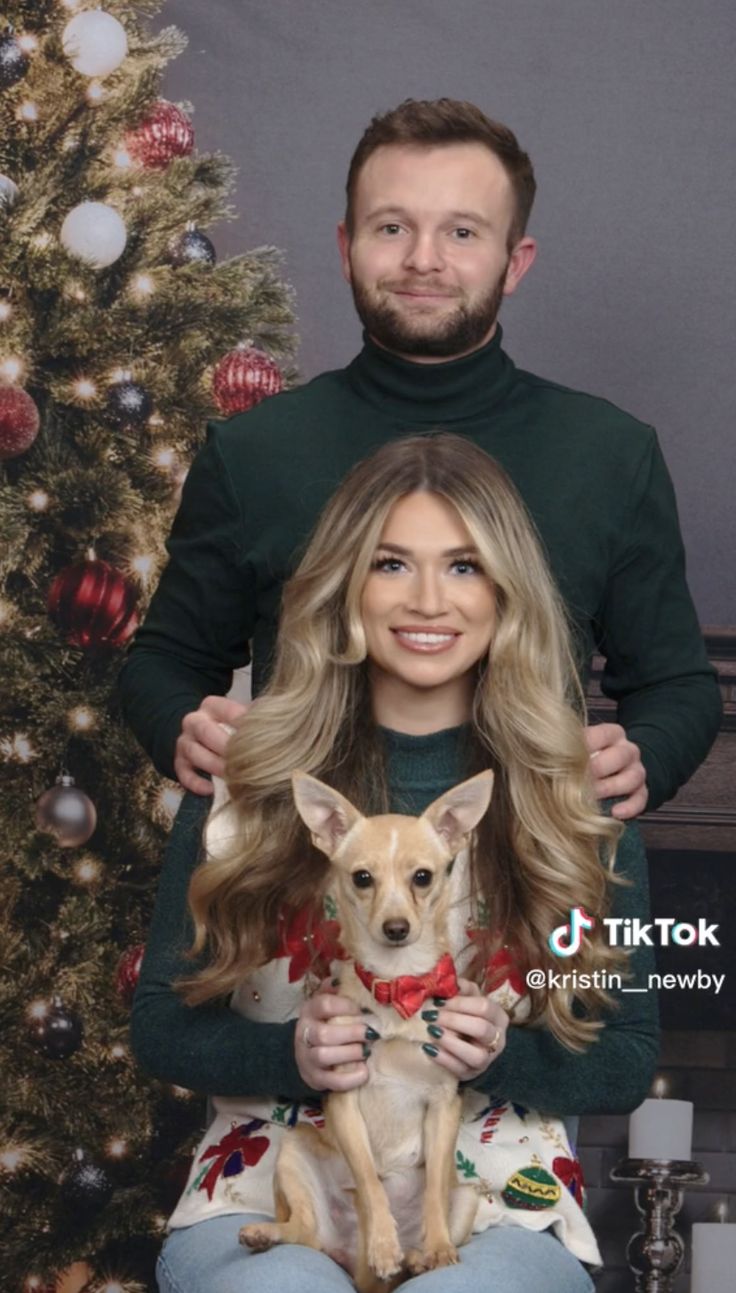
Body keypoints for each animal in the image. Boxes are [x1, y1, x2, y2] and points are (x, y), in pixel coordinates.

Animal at [240, 770, 494, 1287]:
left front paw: (438, 1250)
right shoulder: (345, 1100)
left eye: (423, 877)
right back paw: (274, 1235)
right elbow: (371, 1183)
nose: (396, 927)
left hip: (470, 1195)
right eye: (362, 878)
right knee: (305, 1233)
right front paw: (383, 1244)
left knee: (436, 1210)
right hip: (295, 1149)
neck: (397, 984)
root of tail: (348, 1258)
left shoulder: (443, 1107)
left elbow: (434, 1189)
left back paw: (417, 1255)